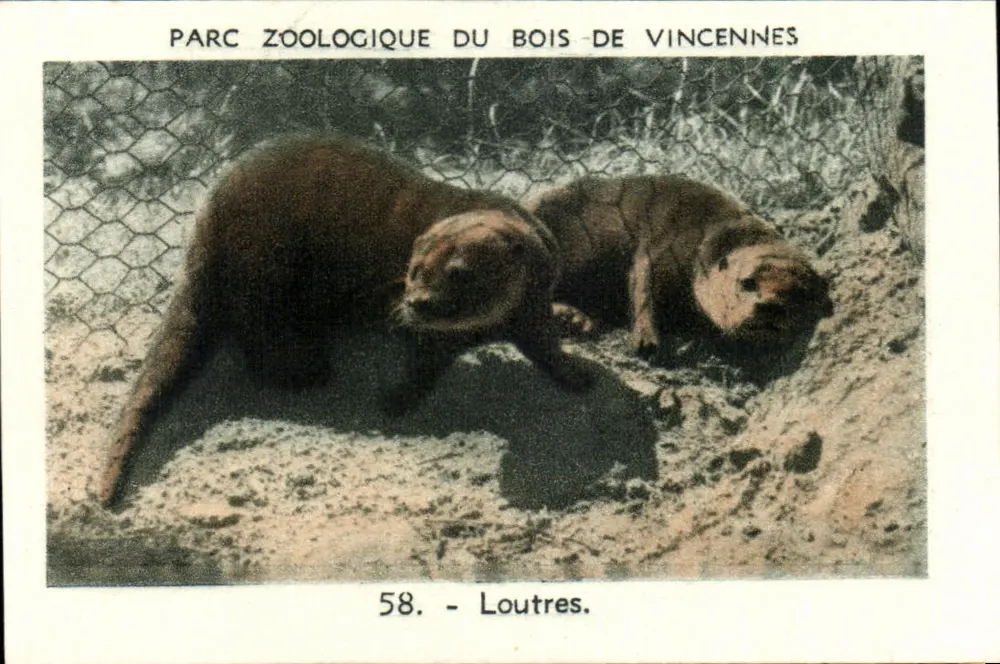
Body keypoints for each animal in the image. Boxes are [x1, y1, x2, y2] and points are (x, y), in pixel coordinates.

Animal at [98, 136, 580, 506]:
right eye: (413, 270)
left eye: (459, 272)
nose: (417, 302)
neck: (488, 325)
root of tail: (206, 227)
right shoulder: (430, 338)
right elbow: (422, 368)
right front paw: (396, 401)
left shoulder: (533, 306)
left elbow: (546, 348)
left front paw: (578, 374)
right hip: (267, 274)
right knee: (255, 341)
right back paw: (311, 372)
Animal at [524, 175, 833, 353]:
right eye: (746, 283)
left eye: (799, 294)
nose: (770, 305)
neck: (708, 230)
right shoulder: (666, 240)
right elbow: (642, 282)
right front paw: (646, 341)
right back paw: (574, 319)